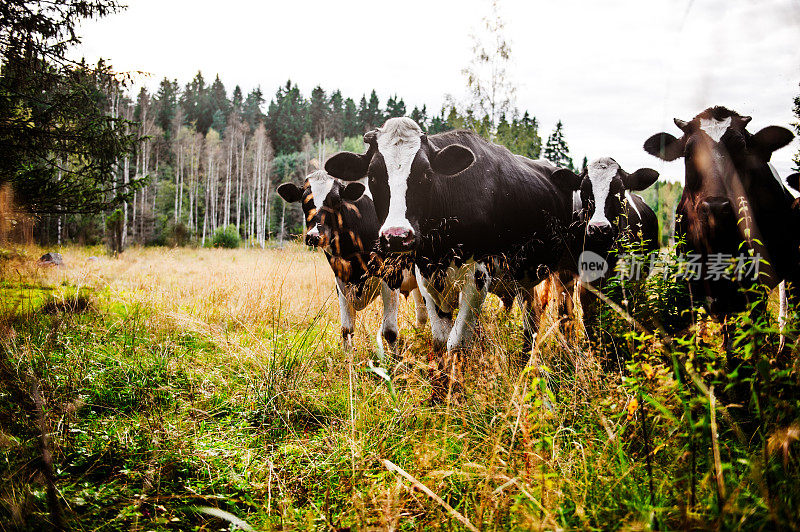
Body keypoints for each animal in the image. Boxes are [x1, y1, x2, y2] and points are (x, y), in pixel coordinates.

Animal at [276, 171, 424, 354]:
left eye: (336, 200)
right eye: (305, 201)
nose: (314, 236)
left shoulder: (391, 275)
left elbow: (389, 330)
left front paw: (394, 360)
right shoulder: (340, 281)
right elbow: (346, 329)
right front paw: (348, 359)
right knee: (422, 314)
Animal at [324, 118, 580, 388]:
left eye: (426, 174)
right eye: (373, 176)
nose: (396, 236)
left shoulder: (478, 276)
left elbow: (456, 342)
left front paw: (453, 389)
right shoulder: (426, 276)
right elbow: (439, 340)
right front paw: (440, 384)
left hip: (566, 269)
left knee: (566, 316)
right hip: (523, 276)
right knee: (532, 319)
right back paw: (524, 362)